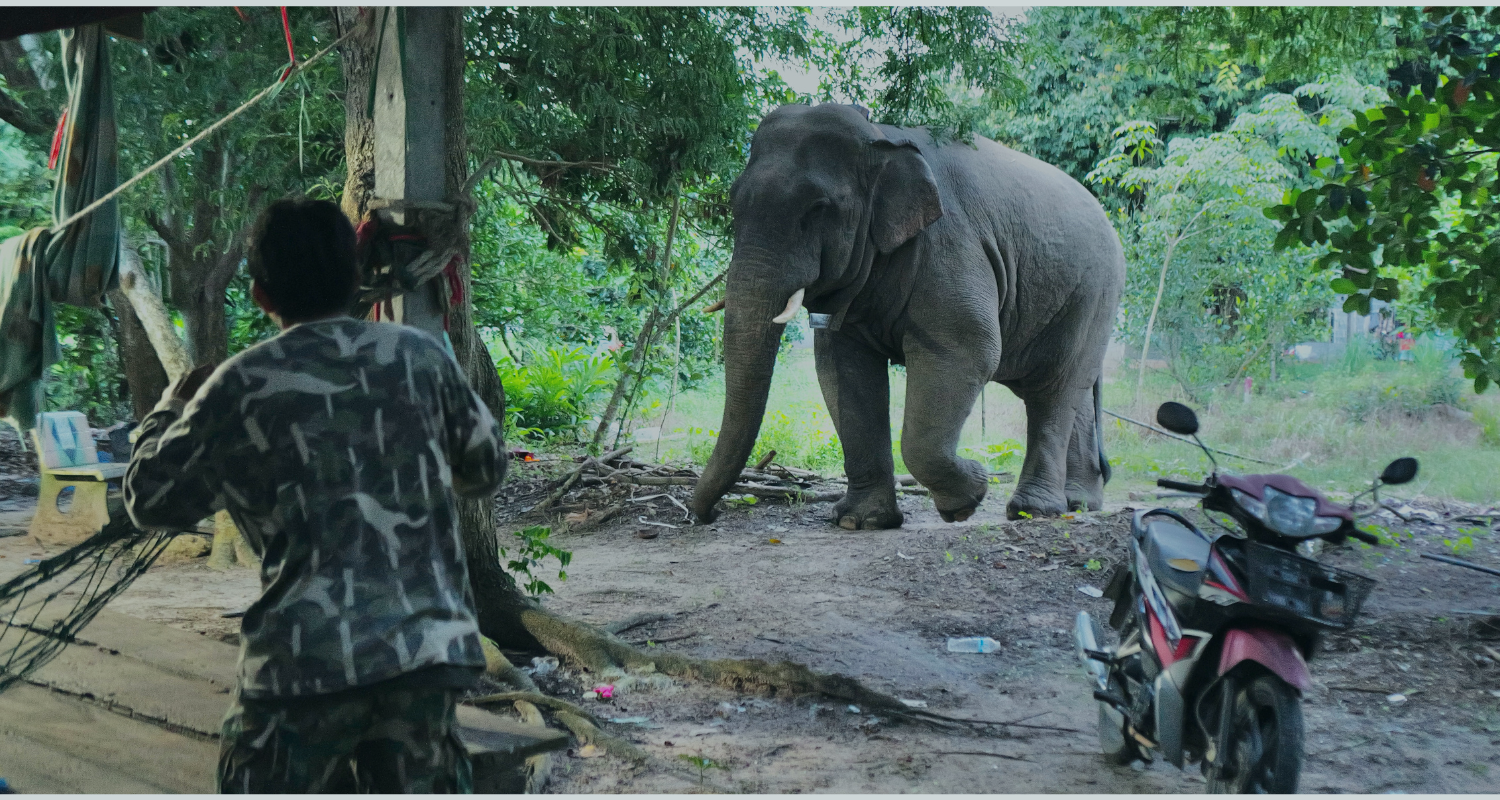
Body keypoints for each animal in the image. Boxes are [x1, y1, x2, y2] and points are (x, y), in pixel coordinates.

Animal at [689, 103, 1125, 528]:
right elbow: (842, 368)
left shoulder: (951, 245)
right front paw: (861, 521)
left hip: (1094, 295)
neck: (882, 136)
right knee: (1072, 393)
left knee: (1054, 389)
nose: (710, 516)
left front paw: (968, 497)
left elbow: (968, 351)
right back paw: (1080, 503)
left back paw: (1033, 511)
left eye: (819, 208)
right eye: (733, 203)